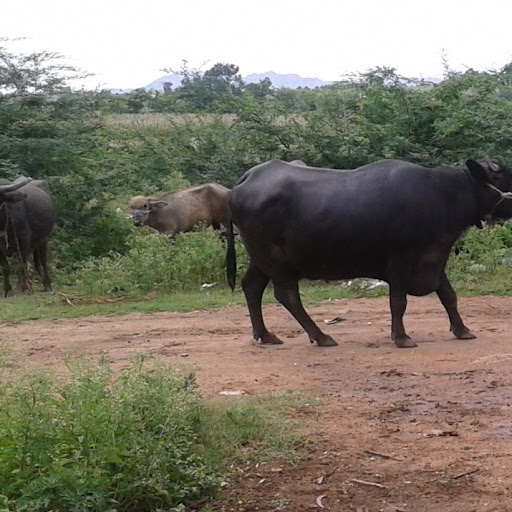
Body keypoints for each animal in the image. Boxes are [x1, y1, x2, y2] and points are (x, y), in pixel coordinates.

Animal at [226, 156, 512, 348]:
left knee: (252, 286)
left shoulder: (432, 259)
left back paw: (265, 335)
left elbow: (449, 296)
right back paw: (321, 336)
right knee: (287, 295)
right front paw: (401, 337)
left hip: (260, 259)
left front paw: (462, 329)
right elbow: (398, 301)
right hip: (275, 260)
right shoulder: (401, 260)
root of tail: (244, 181)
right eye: (505, 176)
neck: (440, 196)